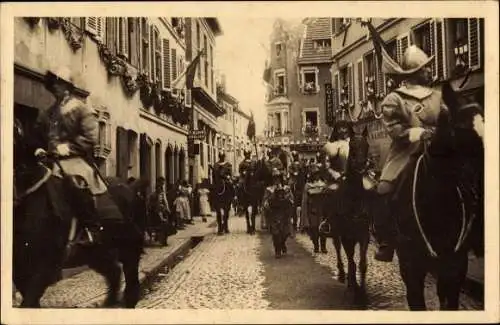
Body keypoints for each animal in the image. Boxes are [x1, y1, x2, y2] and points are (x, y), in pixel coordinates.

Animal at [322, 125, 374, 298]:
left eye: (366, 146)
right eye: (353, 146)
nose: (361, 165)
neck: (353, 199)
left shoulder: (364, 234)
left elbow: (362, 262)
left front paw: (362, 291)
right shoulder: (346, 235)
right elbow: (351, 259)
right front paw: (352, 285)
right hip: (335, 232)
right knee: (338, 249)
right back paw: (341, 274)